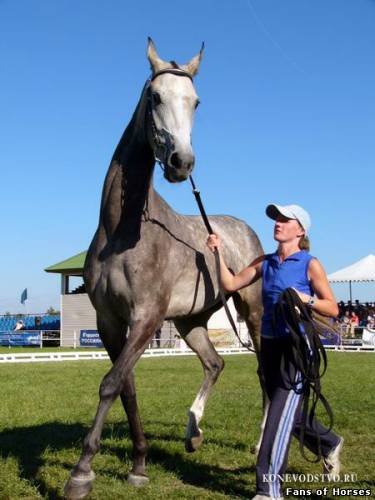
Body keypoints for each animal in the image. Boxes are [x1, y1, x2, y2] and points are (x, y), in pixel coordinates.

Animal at [64, 40, 262, 500]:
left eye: (196, 101)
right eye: (155, 96)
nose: (181, 162)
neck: (122, 231)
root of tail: (245, 229)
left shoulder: (147, 317)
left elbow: (111, 383)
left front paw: (81, 473)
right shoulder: (109, 321)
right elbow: (126, 387)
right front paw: (138, 465)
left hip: (254, 312)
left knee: (269, 371)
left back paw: (263, 444)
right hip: (192, 321)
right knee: (214, 364)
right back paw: (193, 434)